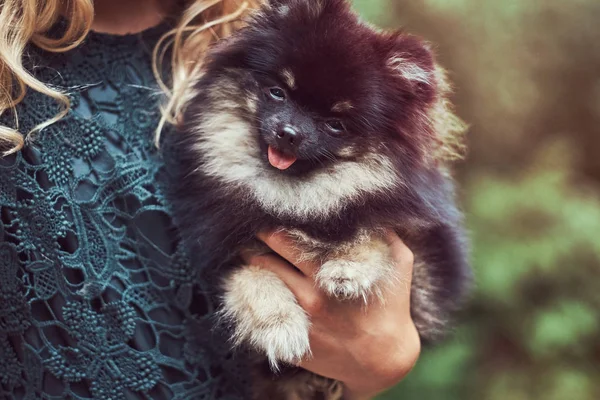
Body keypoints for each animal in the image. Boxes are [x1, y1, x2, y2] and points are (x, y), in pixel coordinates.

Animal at [163, 0, 468, 396]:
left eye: (336, 124)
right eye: (278, 92)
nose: (288, 133)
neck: (297, 200)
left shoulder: (424, 268)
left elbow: (372, 230)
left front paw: (348, 265)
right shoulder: (224, 257)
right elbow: (252, 276)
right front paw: (279, 324)